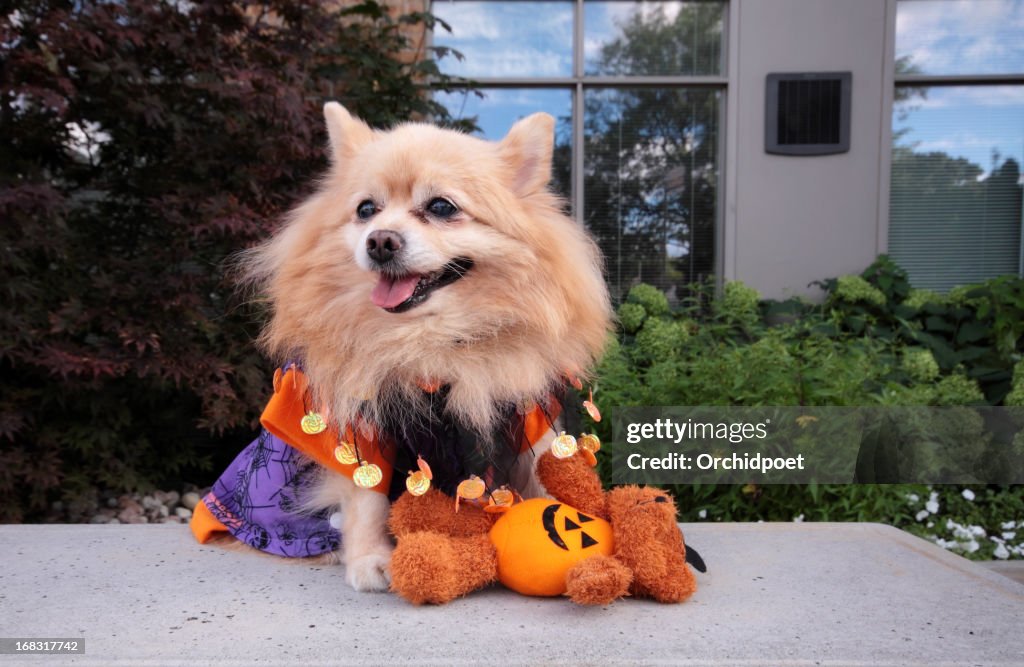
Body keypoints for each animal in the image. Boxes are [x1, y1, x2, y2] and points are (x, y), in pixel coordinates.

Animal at [239, 105, 606, 594]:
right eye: (366, 210)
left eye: (441, 207)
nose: (380, 240)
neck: (429, 343)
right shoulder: (360, 423)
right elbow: (366, 494)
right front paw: (370, 559)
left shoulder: (522, 411)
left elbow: (545, 470)